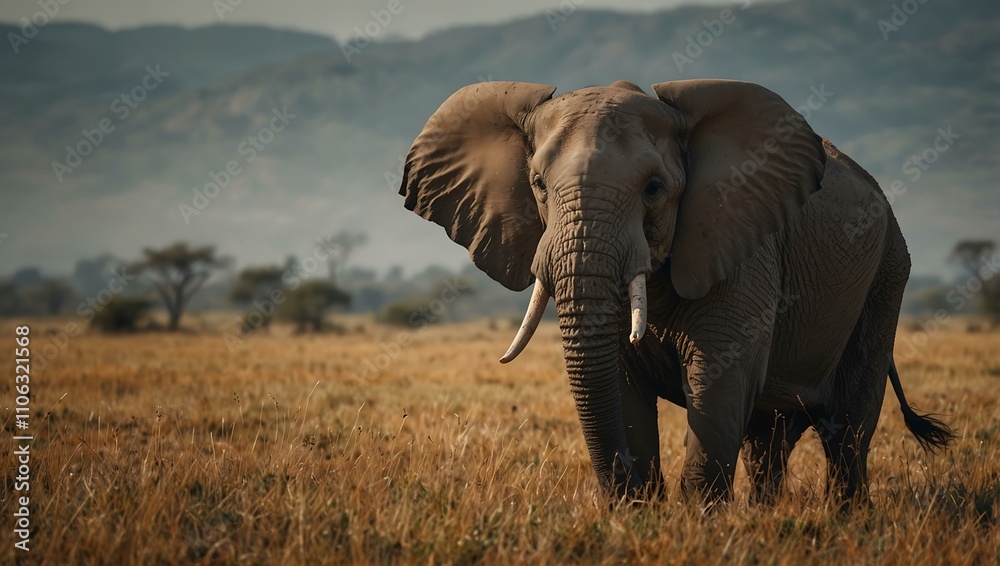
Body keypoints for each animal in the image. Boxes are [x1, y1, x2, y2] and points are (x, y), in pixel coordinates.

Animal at [398, 79, 954, 505]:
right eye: (537, 184)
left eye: (653, 189)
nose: (621, 492)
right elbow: (622, 385)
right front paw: (638, 515)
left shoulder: (742, 244)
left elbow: (718, 379)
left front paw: (697, 525)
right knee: (769, 437)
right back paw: (766, 517)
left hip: (887, 274)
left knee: (848, 427)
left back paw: (845, 521)